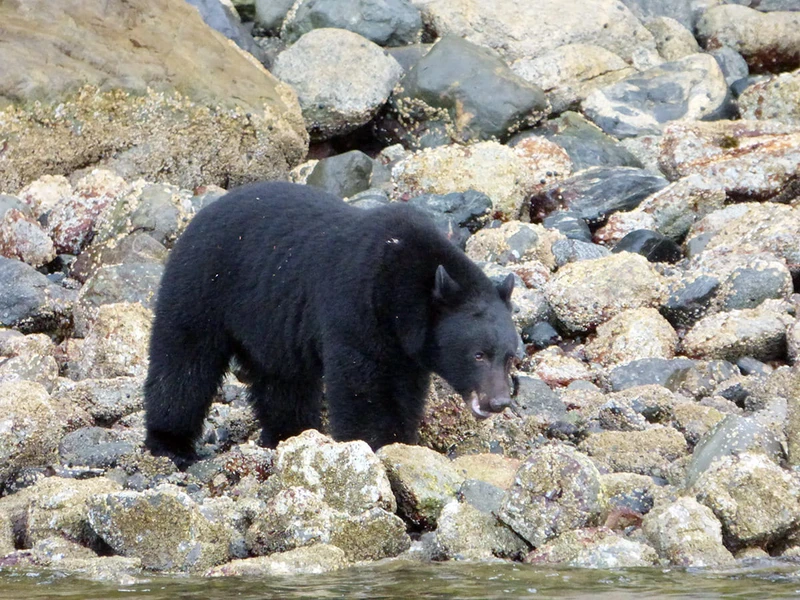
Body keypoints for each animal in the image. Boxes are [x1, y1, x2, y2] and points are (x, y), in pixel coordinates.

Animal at [144, 181, 518, 462]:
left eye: (510, 357)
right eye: (478, 354)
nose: (498, 402)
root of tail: (198, 216)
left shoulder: (407, 352)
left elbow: (404, 393)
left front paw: (402, 441)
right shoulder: (356, 308)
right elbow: (361, 388)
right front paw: (373, 443)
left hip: (271, 326)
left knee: (283, 383)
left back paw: (289, 433)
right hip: (203, 285)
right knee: (184, 363)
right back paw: (170, 443)